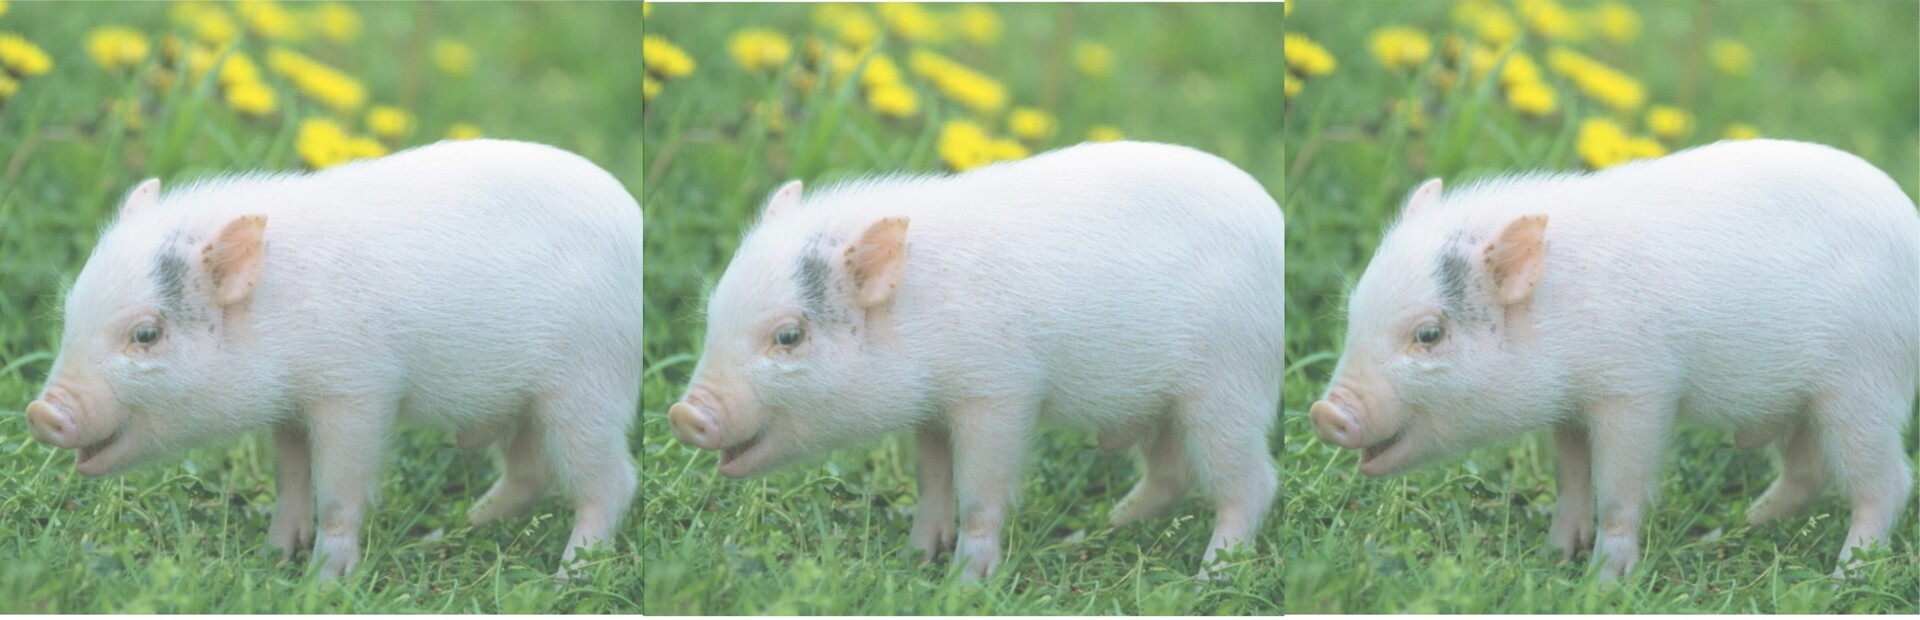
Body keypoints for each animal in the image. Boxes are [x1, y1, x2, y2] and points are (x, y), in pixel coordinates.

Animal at [22, 139, 644, 579]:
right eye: (70, 312)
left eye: (146, 334)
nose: (40, 413)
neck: (275, 313)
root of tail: (633, 216)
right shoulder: (290, 407)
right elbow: (291, 480)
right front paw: (272, 558)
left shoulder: (357, 390)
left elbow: (337, 491)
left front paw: (322, 582)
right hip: (525, 402)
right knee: (529, 472)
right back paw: (451, 531)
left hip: (587, 384)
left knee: (611, 481)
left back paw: (569, 578)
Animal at [666, 141, 1283, 580]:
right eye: (713, 315)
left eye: (789, 336)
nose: (684, 414)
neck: (918, 315)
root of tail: (1273, 219)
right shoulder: (932, 408)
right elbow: (932, 481)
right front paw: (914, 559)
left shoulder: (999, 392)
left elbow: (979, 492)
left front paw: (964, 584)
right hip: (1166, 404)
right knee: (1170, 474)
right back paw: (1092, 533)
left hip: (1228, 386)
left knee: (1252, 483)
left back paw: (1209, 580)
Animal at [1309, 139, 1918, 580]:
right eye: (1355, 313)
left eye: (1429, 334)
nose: (1325, 413)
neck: (1556, 313)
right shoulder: (1571, 407)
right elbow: (1571, 480)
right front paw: (1552, 558)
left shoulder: (1636, 391)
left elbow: (1617, 490)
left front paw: (1603, 582)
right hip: (1804, 402)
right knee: (1806, 472)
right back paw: (1730, 531)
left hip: (1864, 385)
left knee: (1887, 481)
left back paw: (1844, 578)